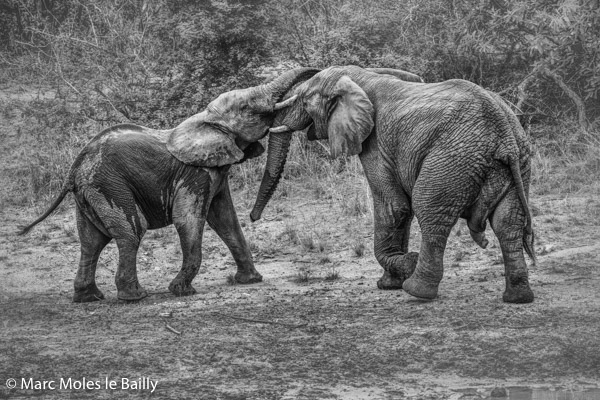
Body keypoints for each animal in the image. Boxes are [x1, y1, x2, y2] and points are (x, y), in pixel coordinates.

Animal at [18, 67, 318, 302]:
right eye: (248, 109)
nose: (255, 217)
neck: (203, 119)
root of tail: (74, 169)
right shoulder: (195, 174)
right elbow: (189, 219)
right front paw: (181, 291)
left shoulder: (216, 172)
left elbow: (226, 220)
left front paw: (250, 280)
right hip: (108, 185)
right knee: (131, 231)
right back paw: (135, 297)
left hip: (90, 192)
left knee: (91, 241)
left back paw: (89, 297)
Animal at [200, 65, 536, 304]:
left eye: (304, 102)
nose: (253, 218)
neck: (360, 77)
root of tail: (503, 132)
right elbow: (399, 209)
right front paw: (391, 280)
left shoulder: (376, 142)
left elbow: (394, 206)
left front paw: (402, 269)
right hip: (518, 161)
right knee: (508, 223)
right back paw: (517, 298)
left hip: (451, 159)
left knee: (430, 211)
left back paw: (417, 291)